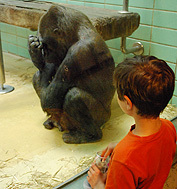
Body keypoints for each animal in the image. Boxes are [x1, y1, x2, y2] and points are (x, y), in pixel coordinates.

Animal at [28, 4, 115, 143]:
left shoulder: (78, 52)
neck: (78, 32)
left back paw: (91, 135)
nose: (44, 54)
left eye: (45, 45)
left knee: (74, 96)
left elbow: (49, 99)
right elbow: (48, 69)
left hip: (101, 118)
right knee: (38, 77)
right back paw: (53, 119)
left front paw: (35, 54)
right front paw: (35, 55)